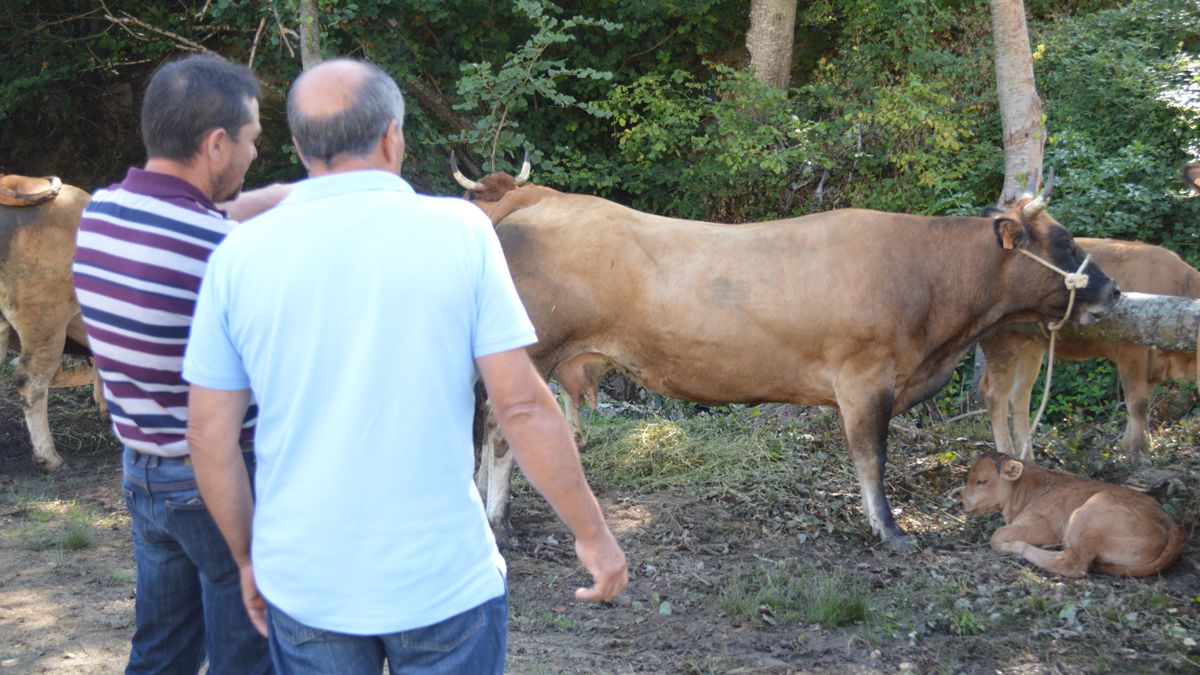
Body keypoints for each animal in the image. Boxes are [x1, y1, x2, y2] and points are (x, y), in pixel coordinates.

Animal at [460, 165, 1123, 550]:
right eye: (1066, 243)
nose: (1114, 292)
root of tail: (533, 207)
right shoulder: (866, 380)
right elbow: (872, 459)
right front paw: (889, 530)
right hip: (532, 352)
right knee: (499, 433)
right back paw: (500, 523)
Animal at [955, 449, 1180, 576]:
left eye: (982, 481)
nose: (961, 501)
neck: (1028, 489)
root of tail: (1170, 524)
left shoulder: (1038, 525)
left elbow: (996, 535)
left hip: (1087, 516)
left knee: (1073, 564)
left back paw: (1020, 548)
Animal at [979, 236, 1200, 456]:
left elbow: (1142, 401)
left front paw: (1128, 445)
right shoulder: (1132, 352)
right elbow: (1138, 404)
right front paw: (1137, 451)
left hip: (1030, 344)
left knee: (1020, 395)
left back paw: (1028, 457)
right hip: (1001, 342)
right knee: (996, 395)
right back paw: (1007, 453)